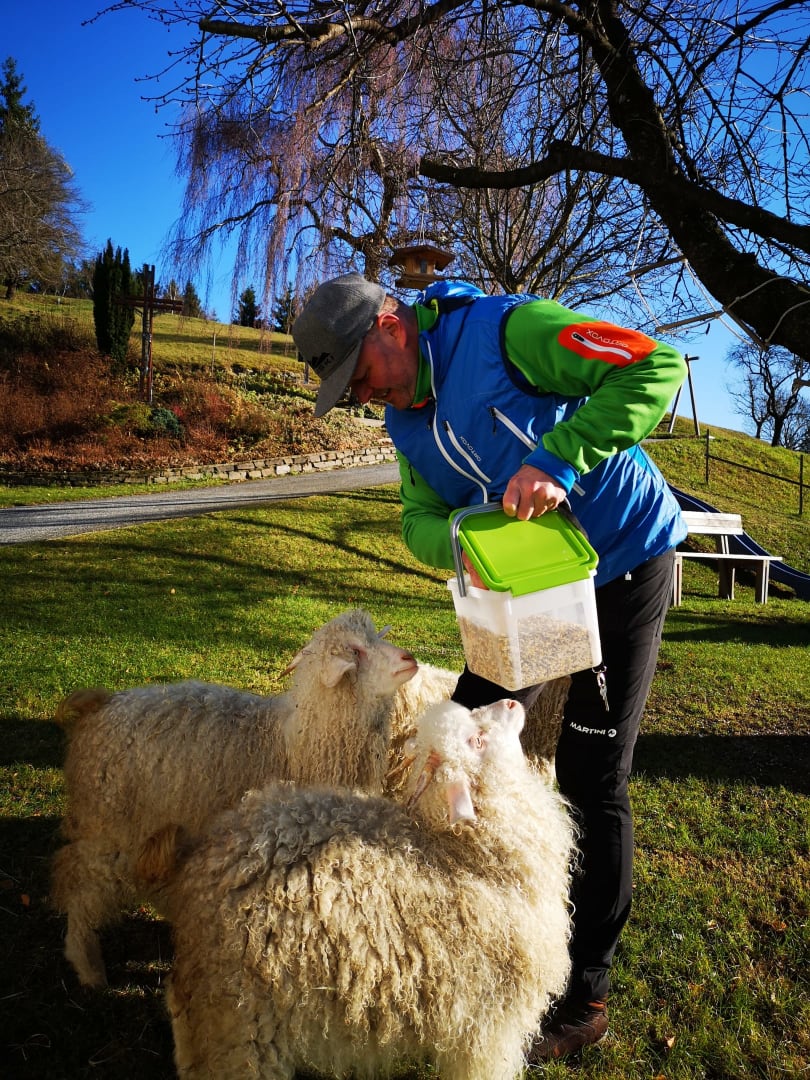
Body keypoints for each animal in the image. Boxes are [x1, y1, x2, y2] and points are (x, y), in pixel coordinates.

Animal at [50, 608, 418, 989]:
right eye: (355, 651)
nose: (411, 659)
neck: (296, 745)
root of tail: (102, 705)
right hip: (109, 825)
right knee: (81, 884)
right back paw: (88, 966)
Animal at [139, 697, 576, 1080]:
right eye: (477, 741)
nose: (511, 702)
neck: (468, 855)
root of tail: (203, 864)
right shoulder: (490, 1021)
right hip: (241, 1016)